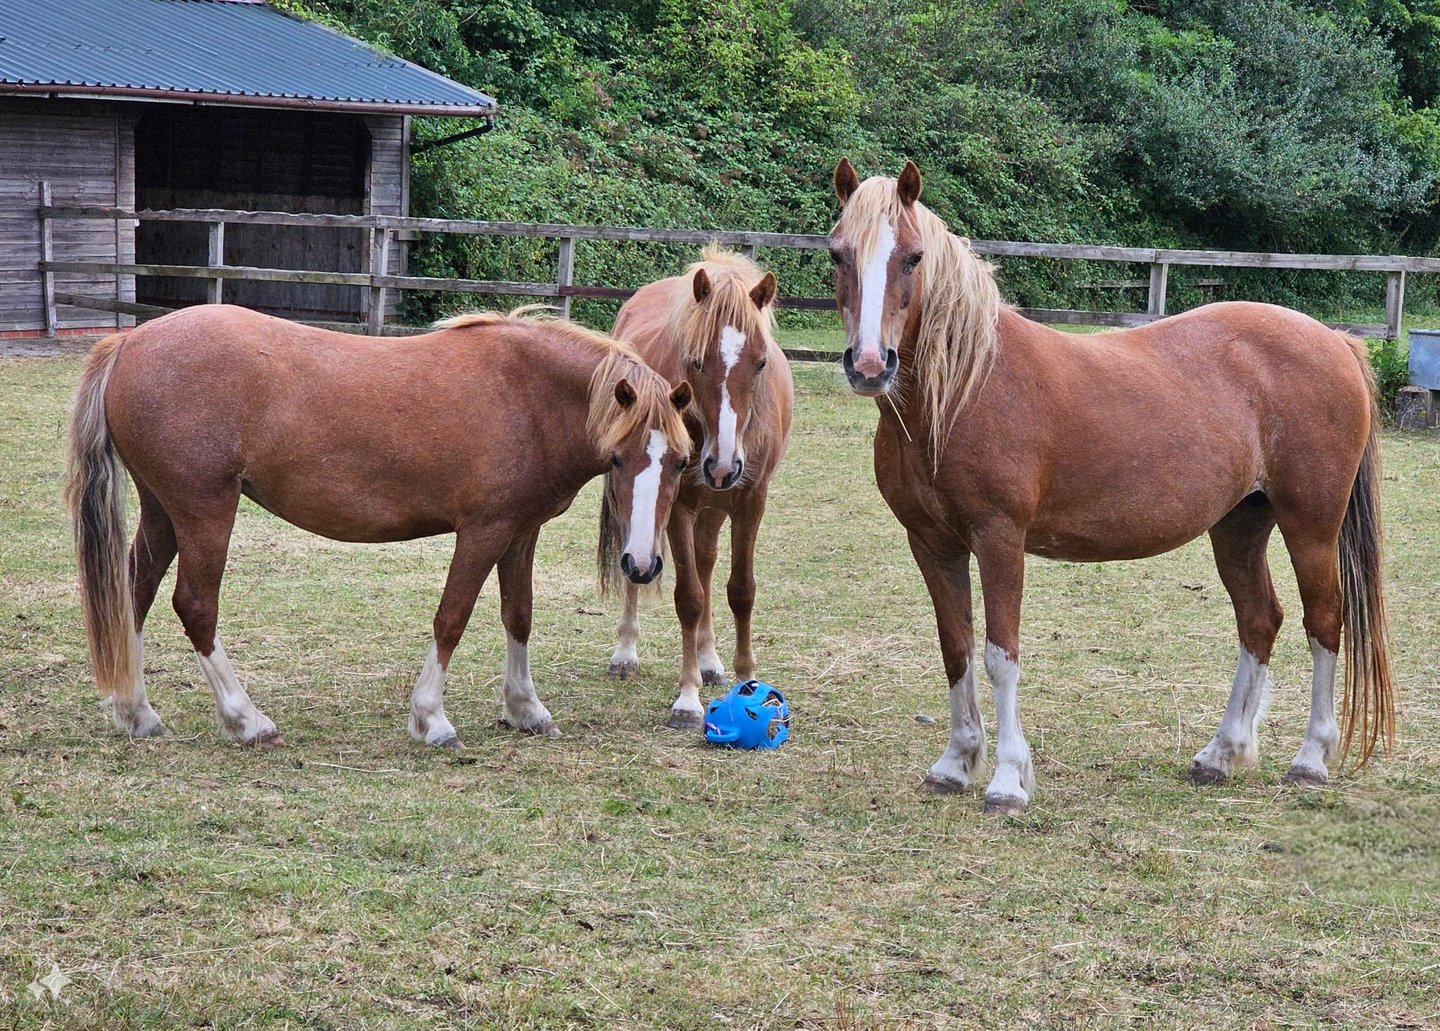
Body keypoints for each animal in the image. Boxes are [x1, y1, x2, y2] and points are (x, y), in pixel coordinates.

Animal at [66, 304, 693, 748]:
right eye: (619, 459)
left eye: (681, 463)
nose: (642, 565)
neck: (528, 394)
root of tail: (130, 342)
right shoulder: (484, 531)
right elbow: (452, 617)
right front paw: (431, 719)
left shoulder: (520, 532)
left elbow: (518, 615)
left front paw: (525, 710)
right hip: (204, 512)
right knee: (194, 606)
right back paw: (247, 720)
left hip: (163, 513)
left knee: (133, 594)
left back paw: (137, 714)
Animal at [600, 247, 794, 728]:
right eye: (696, 360)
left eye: (761, 363)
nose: (722, 465)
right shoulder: (680, 505)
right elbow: (688, 597)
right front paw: (687, 698)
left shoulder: (750, 501)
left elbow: (740, 590)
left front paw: (749, 682)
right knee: (639, 562)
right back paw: (626, 652)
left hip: (716, 506)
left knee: (706, 563)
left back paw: (709, 660)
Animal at [829, 158, 1394, 814]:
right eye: (839, 254)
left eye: (914, 257)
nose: (871, 365)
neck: (965, 390)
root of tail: (1337, 342)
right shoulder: (932, 543)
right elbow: (956, 648)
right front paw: (954, 763)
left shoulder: (999, 539)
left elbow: (1000, 655)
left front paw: (1006, 781)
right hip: (1240, 524)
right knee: (1260, 620)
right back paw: (1220, 754)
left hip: (1311, 525)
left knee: (1324, 620)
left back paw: (1309, 759)